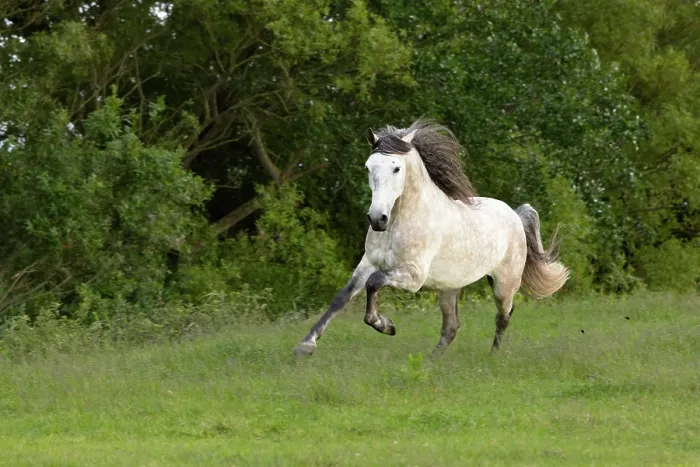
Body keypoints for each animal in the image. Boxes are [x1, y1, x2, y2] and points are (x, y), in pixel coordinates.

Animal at [294, 119, 569, 357]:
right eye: (368, 167)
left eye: (396, 168)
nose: (377, 219)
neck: (400, 221)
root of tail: (515, 215)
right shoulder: (368, 262)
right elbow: (341, 297)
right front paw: (306, 345)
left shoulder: (413, 275)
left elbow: (375, 282)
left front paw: (386, 326)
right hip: (449, 287)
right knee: (451, 327)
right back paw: (431, 361)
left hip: (504, 284)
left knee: (504, 314)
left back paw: (492, 356)